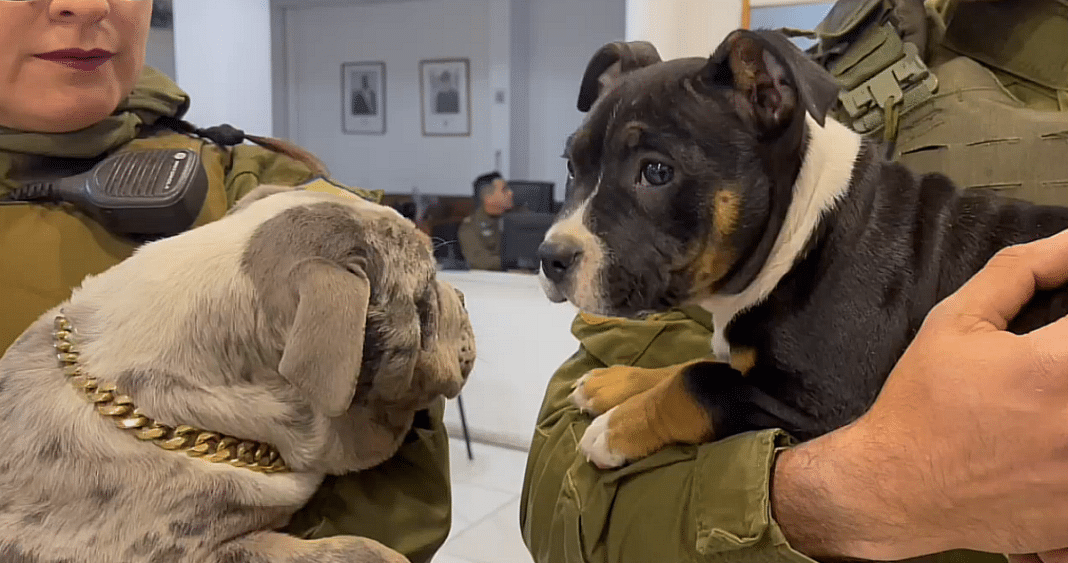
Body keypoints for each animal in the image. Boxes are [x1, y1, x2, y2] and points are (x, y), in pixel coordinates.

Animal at [538, 28, 1068, 470]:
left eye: (656, 172)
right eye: (571, 166)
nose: (550, 258)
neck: (802, 234)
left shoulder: (831, 406)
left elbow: (703, 380)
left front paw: (616, 427)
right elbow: (695, 362)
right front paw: (617, 381)